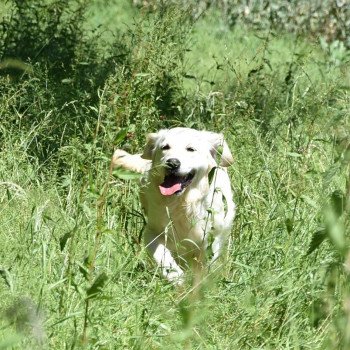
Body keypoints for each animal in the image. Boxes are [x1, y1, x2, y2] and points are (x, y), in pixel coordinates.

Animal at [113, 127, 237, 286]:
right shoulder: (152, 232)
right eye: (165, 147)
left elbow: (204, 265)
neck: (182, 203)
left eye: (190, 149)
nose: (172, 163)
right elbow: (162, 255)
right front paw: (177, 277)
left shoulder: (210, 239)